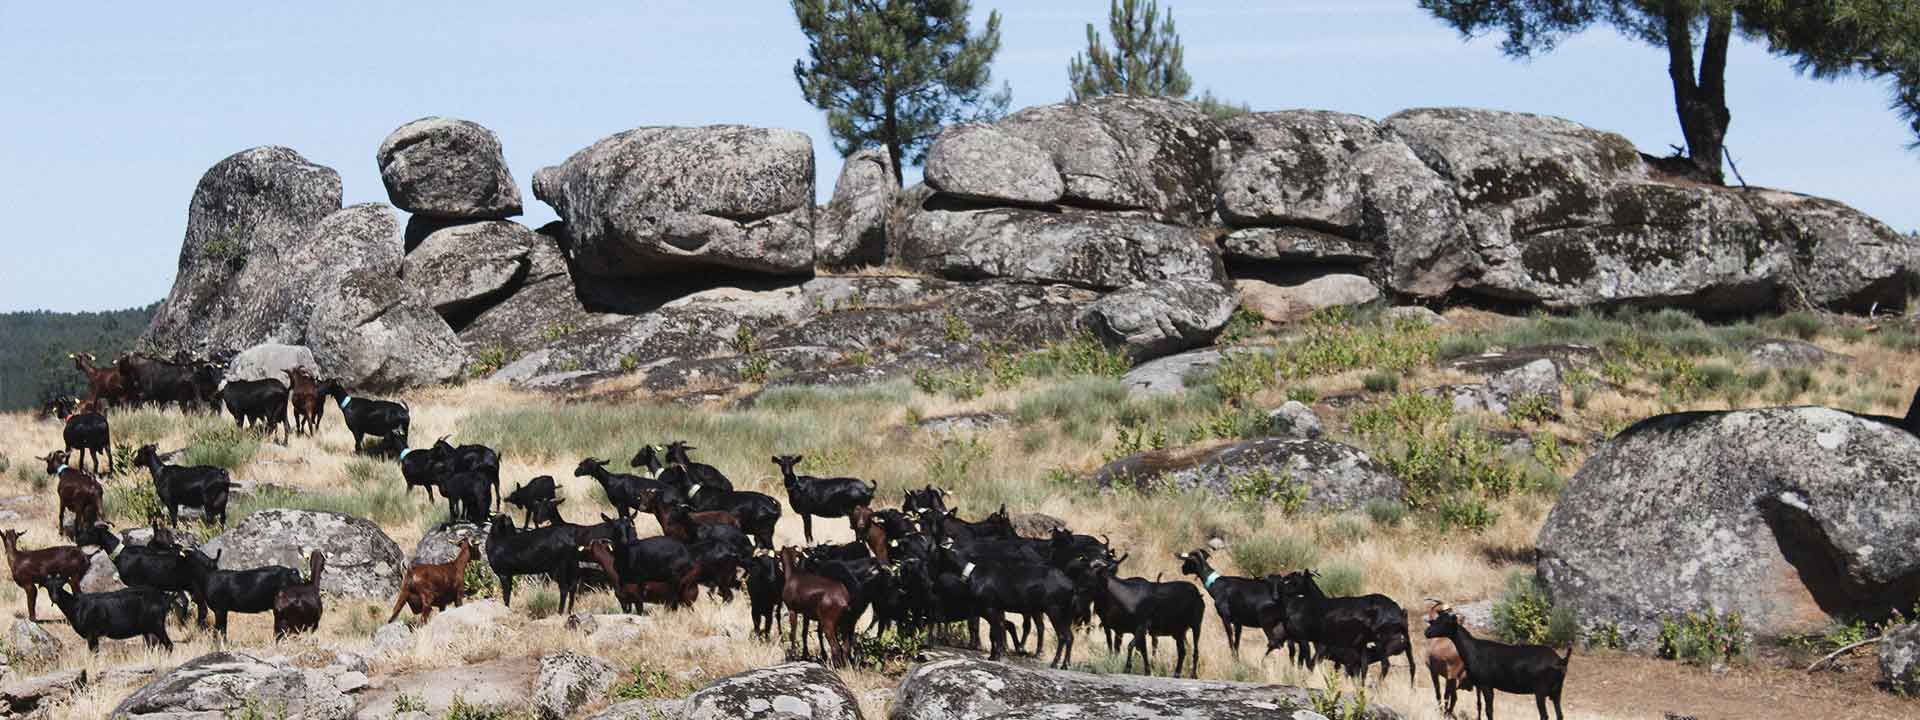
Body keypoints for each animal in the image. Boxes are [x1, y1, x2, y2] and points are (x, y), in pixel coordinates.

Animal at [39, 579, 177, 653]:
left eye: (60, 586)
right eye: (48, 587)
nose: (55, 598)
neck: (76, 605)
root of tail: (165, 598)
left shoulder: (92, 634)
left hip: (157, 625)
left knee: (169, 645)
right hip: (148, 629)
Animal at [1426, 609, 1572, 720]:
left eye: (1445, 623)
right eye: (1435, 620)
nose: (1427, 632)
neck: (1473, 649)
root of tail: (1561, 661)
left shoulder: (1486, 685)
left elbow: (1489, 710)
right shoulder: (1479, 685)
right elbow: (1479, 705)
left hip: (1541, 691)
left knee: (1545, 716)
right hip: (1557, 691)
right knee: (1560, 715)